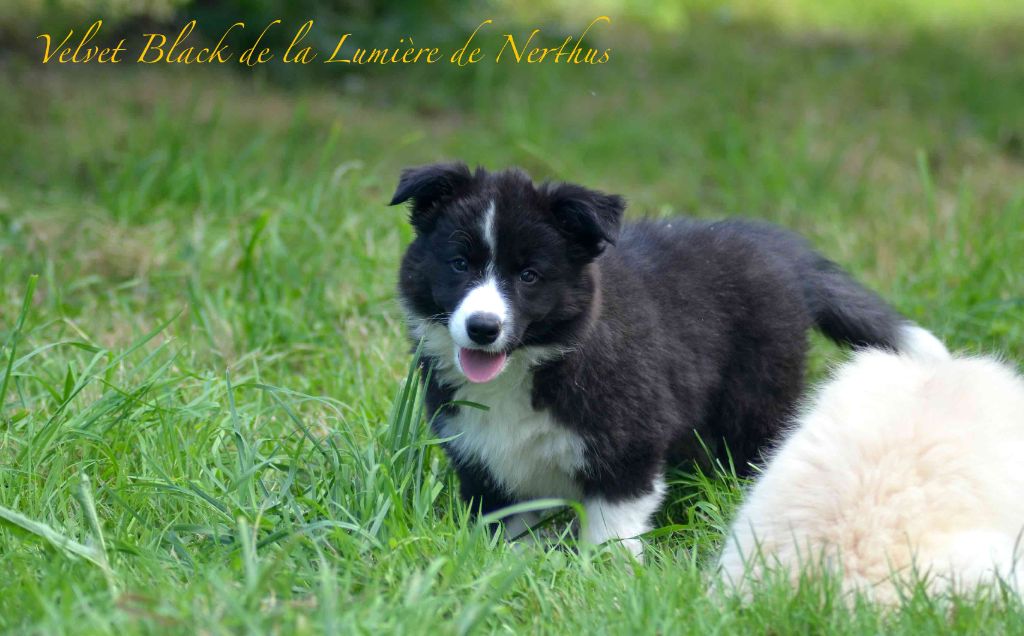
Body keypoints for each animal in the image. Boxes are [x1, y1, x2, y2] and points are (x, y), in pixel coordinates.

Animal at [391, 162, 942, 557]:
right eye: (459, 264)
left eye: (528, 275)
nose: (482, 328)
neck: (531, 367)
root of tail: (778, 249)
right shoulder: (482, 456)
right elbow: (506, 530)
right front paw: (504, 570)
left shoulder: (627, 442)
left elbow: (611, 527)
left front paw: (604, 579)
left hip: (756, 395)